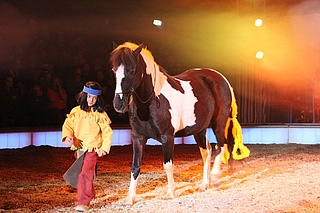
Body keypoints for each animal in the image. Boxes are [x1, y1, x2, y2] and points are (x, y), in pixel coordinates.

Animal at [110, 42, 250, 205]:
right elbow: (135, 166)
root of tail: (222, 79)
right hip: (199, 130)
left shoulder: (167, 137)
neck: (152, 101)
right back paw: (205, 184)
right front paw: (130, 198)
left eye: (132, 70)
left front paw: (171, 192)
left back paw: (215, 179)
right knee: (207, 151)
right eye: (114, 70)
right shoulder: (138, 137)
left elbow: (168, 165)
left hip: (218, 124)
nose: (118, 104)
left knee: (221, 146)